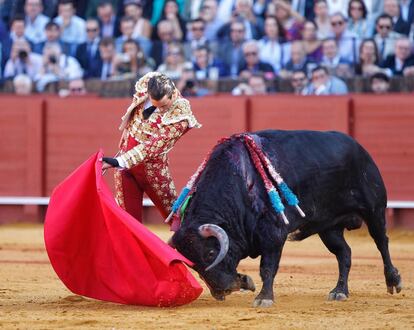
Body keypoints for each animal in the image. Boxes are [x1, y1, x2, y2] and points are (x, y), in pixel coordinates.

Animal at [171, 129, 402, 306]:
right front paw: (245, 281)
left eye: (211, 253)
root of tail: (358, 147)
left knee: (382, 242)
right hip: (329, 227)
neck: (239, 182)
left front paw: (264, 298)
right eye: (193, 265)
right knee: (344, 252)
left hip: (374, 210)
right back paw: (339, 291)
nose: (222, 291)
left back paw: (393, 280)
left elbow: (267, 267)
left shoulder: (273, 234)